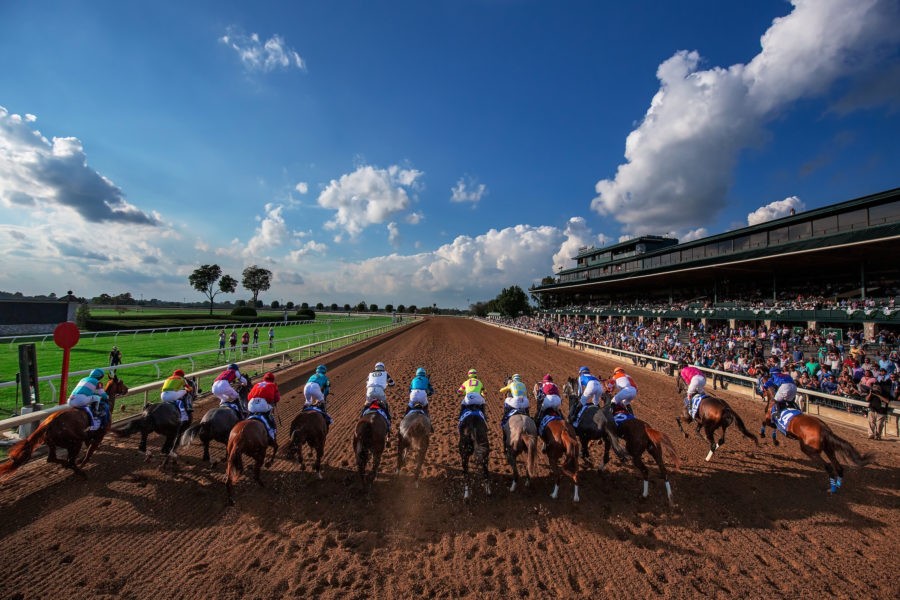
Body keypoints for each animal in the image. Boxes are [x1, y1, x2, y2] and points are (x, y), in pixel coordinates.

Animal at [0, 378, 130, 480]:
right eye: (122, 382)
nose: (127, 389)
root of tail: (48, 423)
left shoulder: (89, 436)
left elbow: (89, 448)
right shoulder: (99, 435)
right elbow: (89, 453)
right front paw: (83, 462)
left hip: (53, 442)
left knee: (52, 458)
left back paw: (67, 464)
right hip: (74, 442)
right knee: (69, 461)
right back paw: (77, 470)